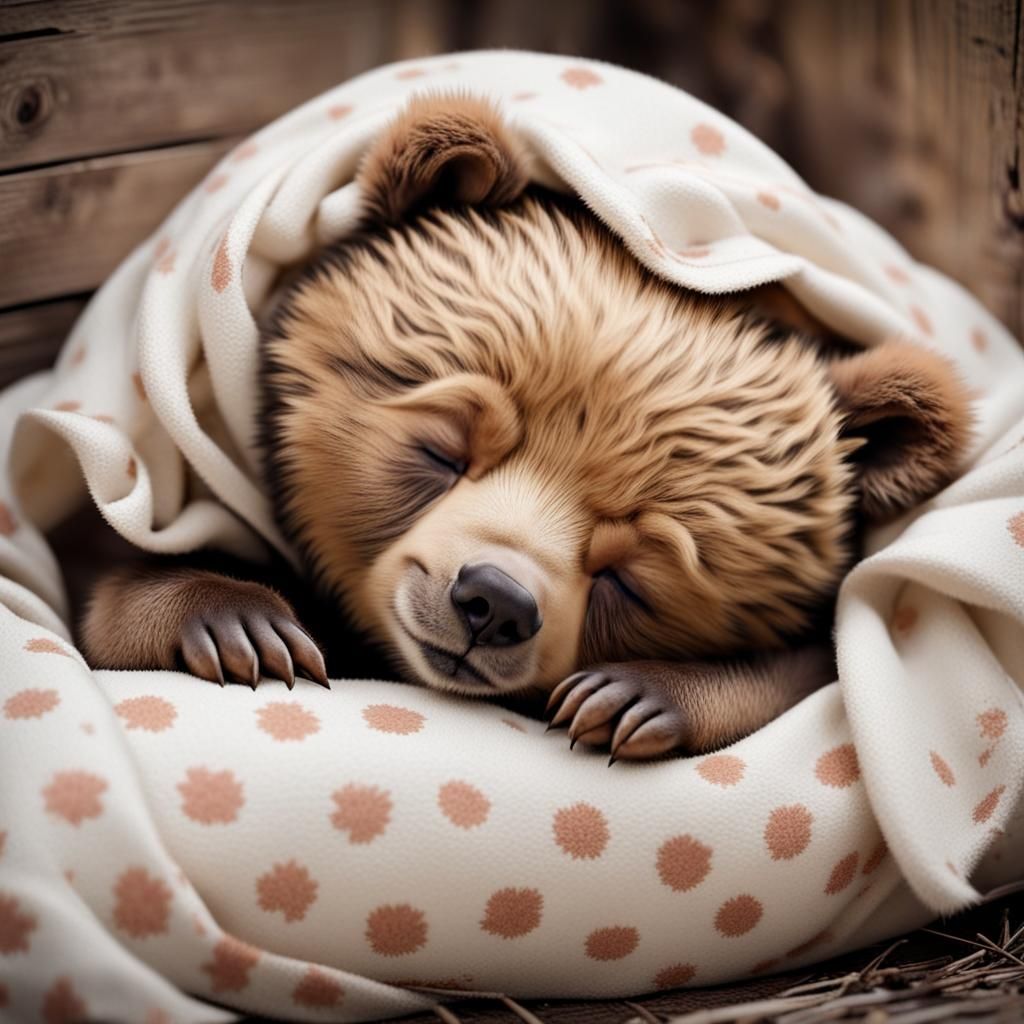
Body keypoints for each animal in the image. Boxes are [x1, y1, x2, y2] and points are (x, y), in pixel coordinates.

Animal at [80, 96, 973, 761]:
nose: (495, 602)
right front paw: (240, 621)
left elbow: (817, 669)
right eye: (441, 451)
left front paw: (634, 695)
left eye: (633, 574)